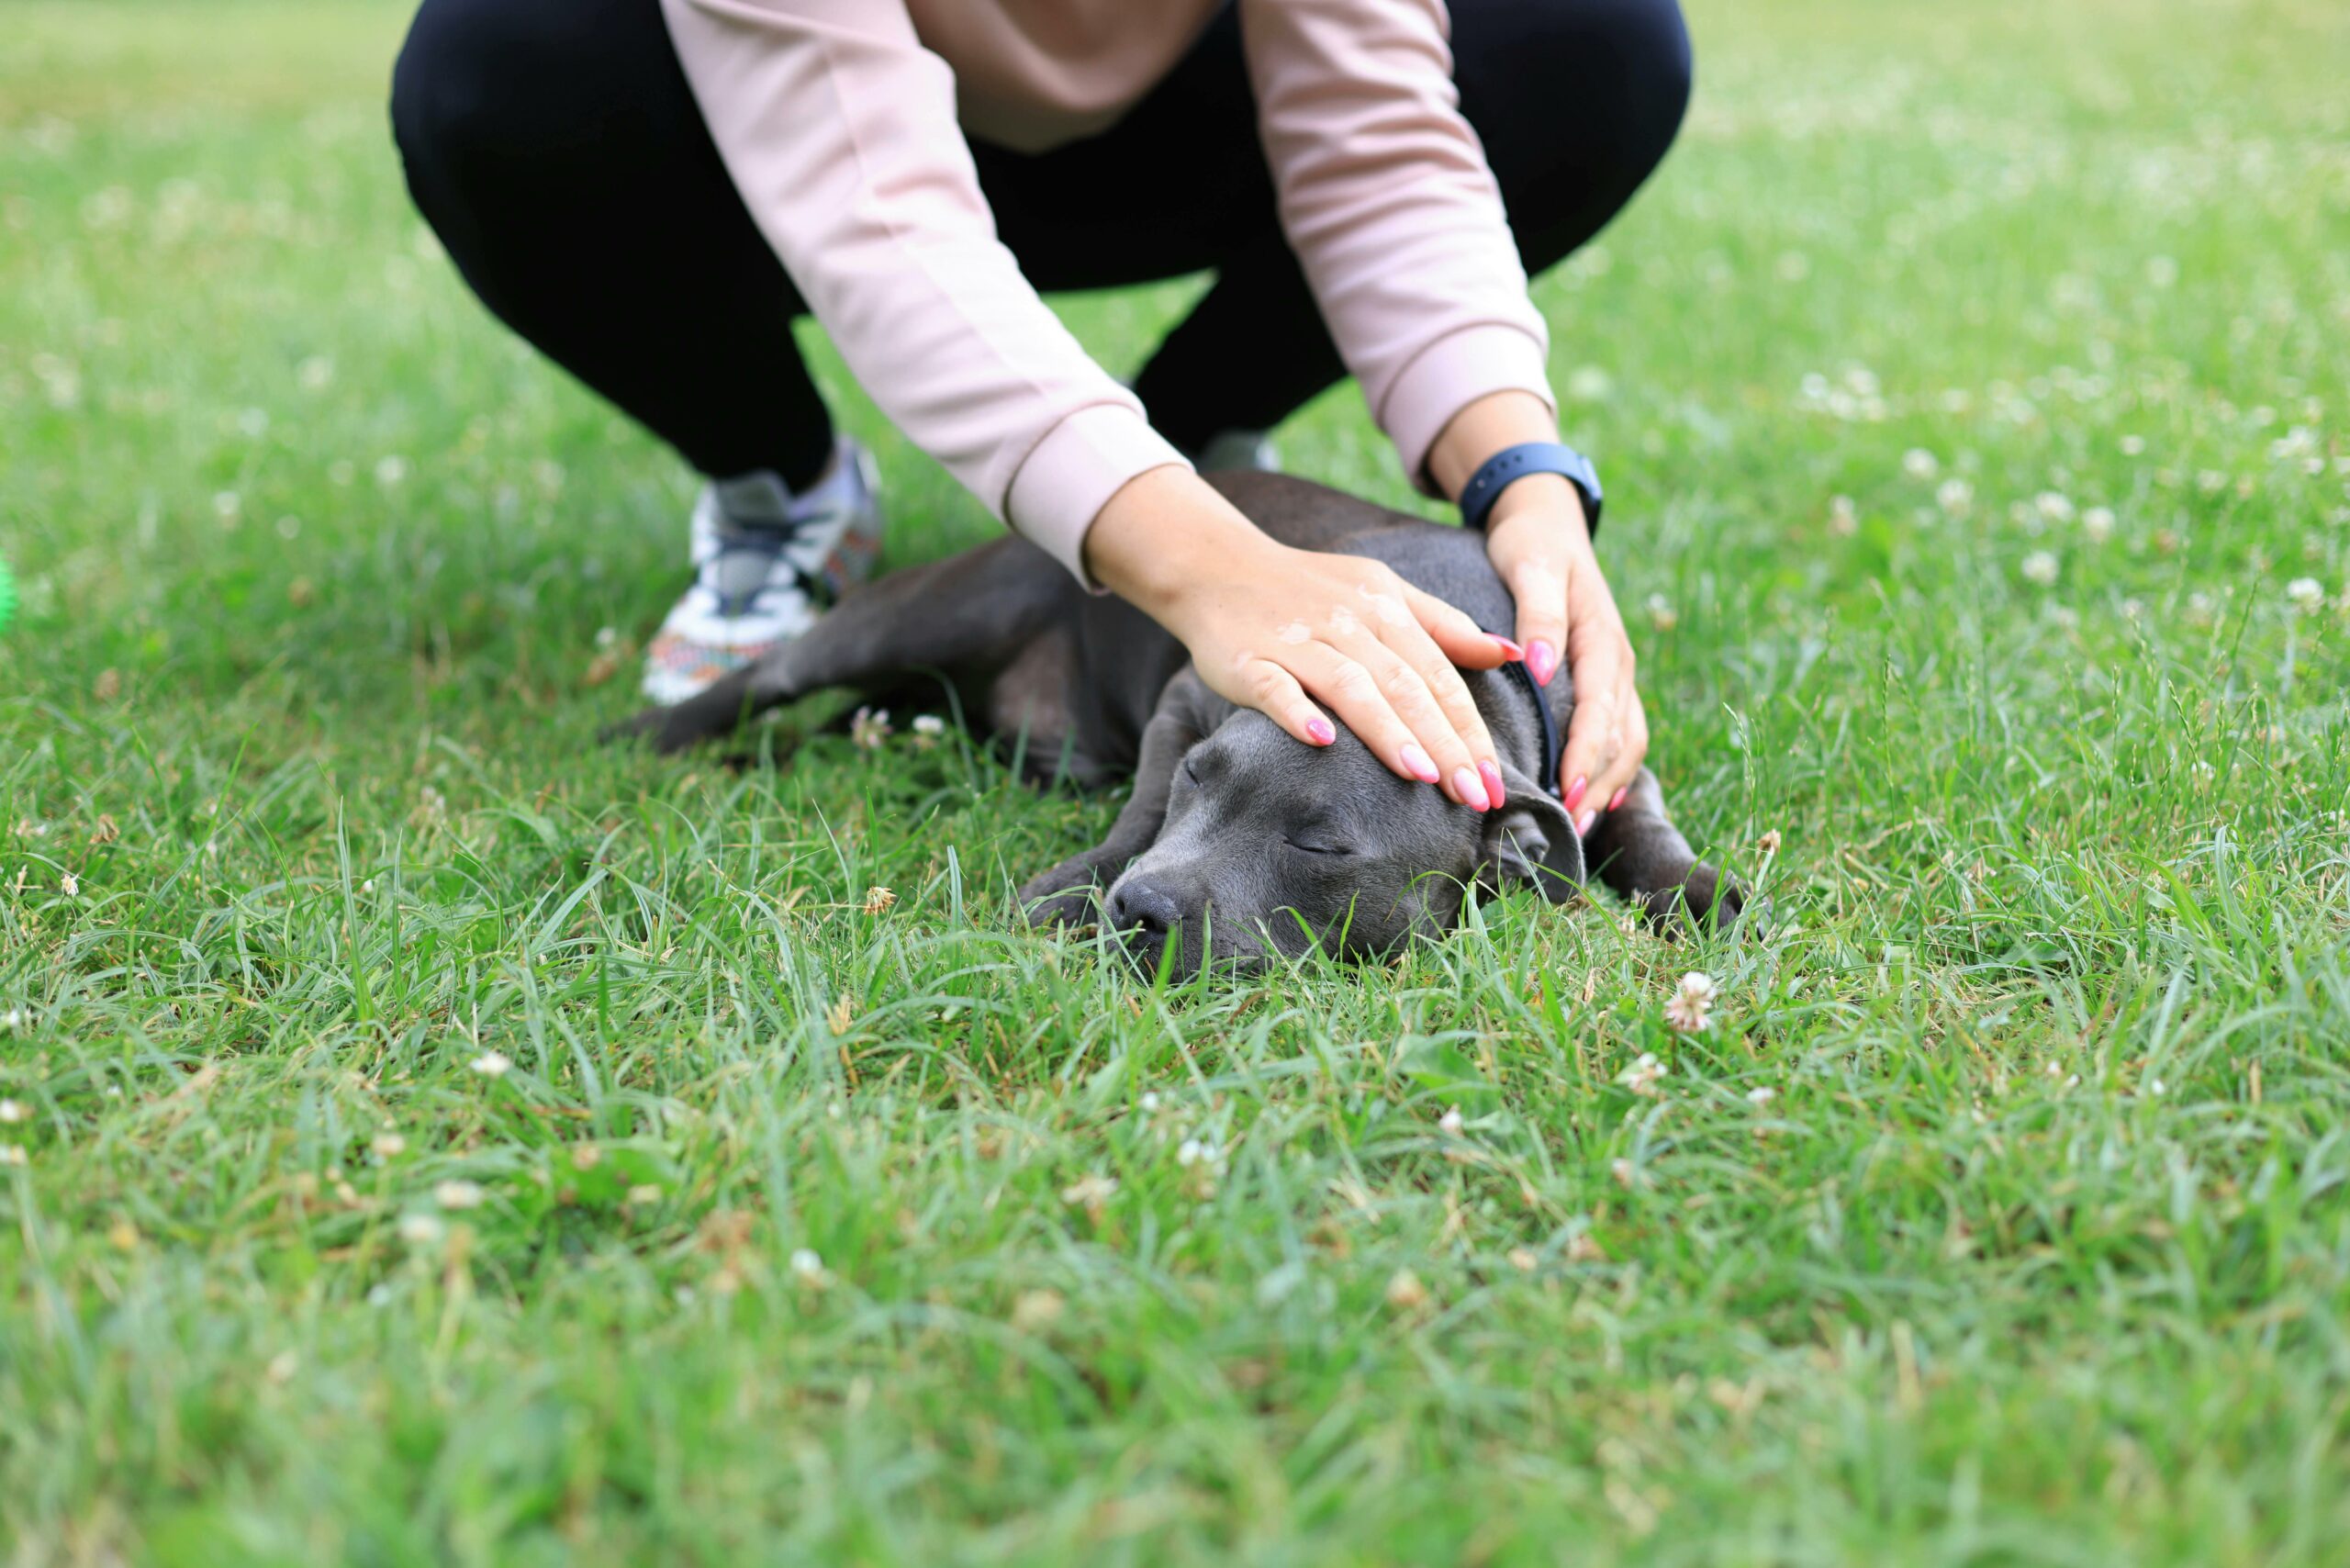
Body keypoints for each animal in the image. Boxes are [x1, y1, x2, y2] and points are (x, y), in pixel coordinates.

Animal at [620, 472, 1748, 973]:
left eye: (1321, 844)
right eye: (1202, 777)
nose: (1140, 908)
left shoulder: (1601, 745)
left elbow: (1641, 818)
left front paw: (1700, 893)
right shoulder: (1190, 699)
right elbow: (1138, 810)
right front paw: (1073, 885)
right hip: (929, 610)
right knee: (773, 674)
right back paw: (643, 738)